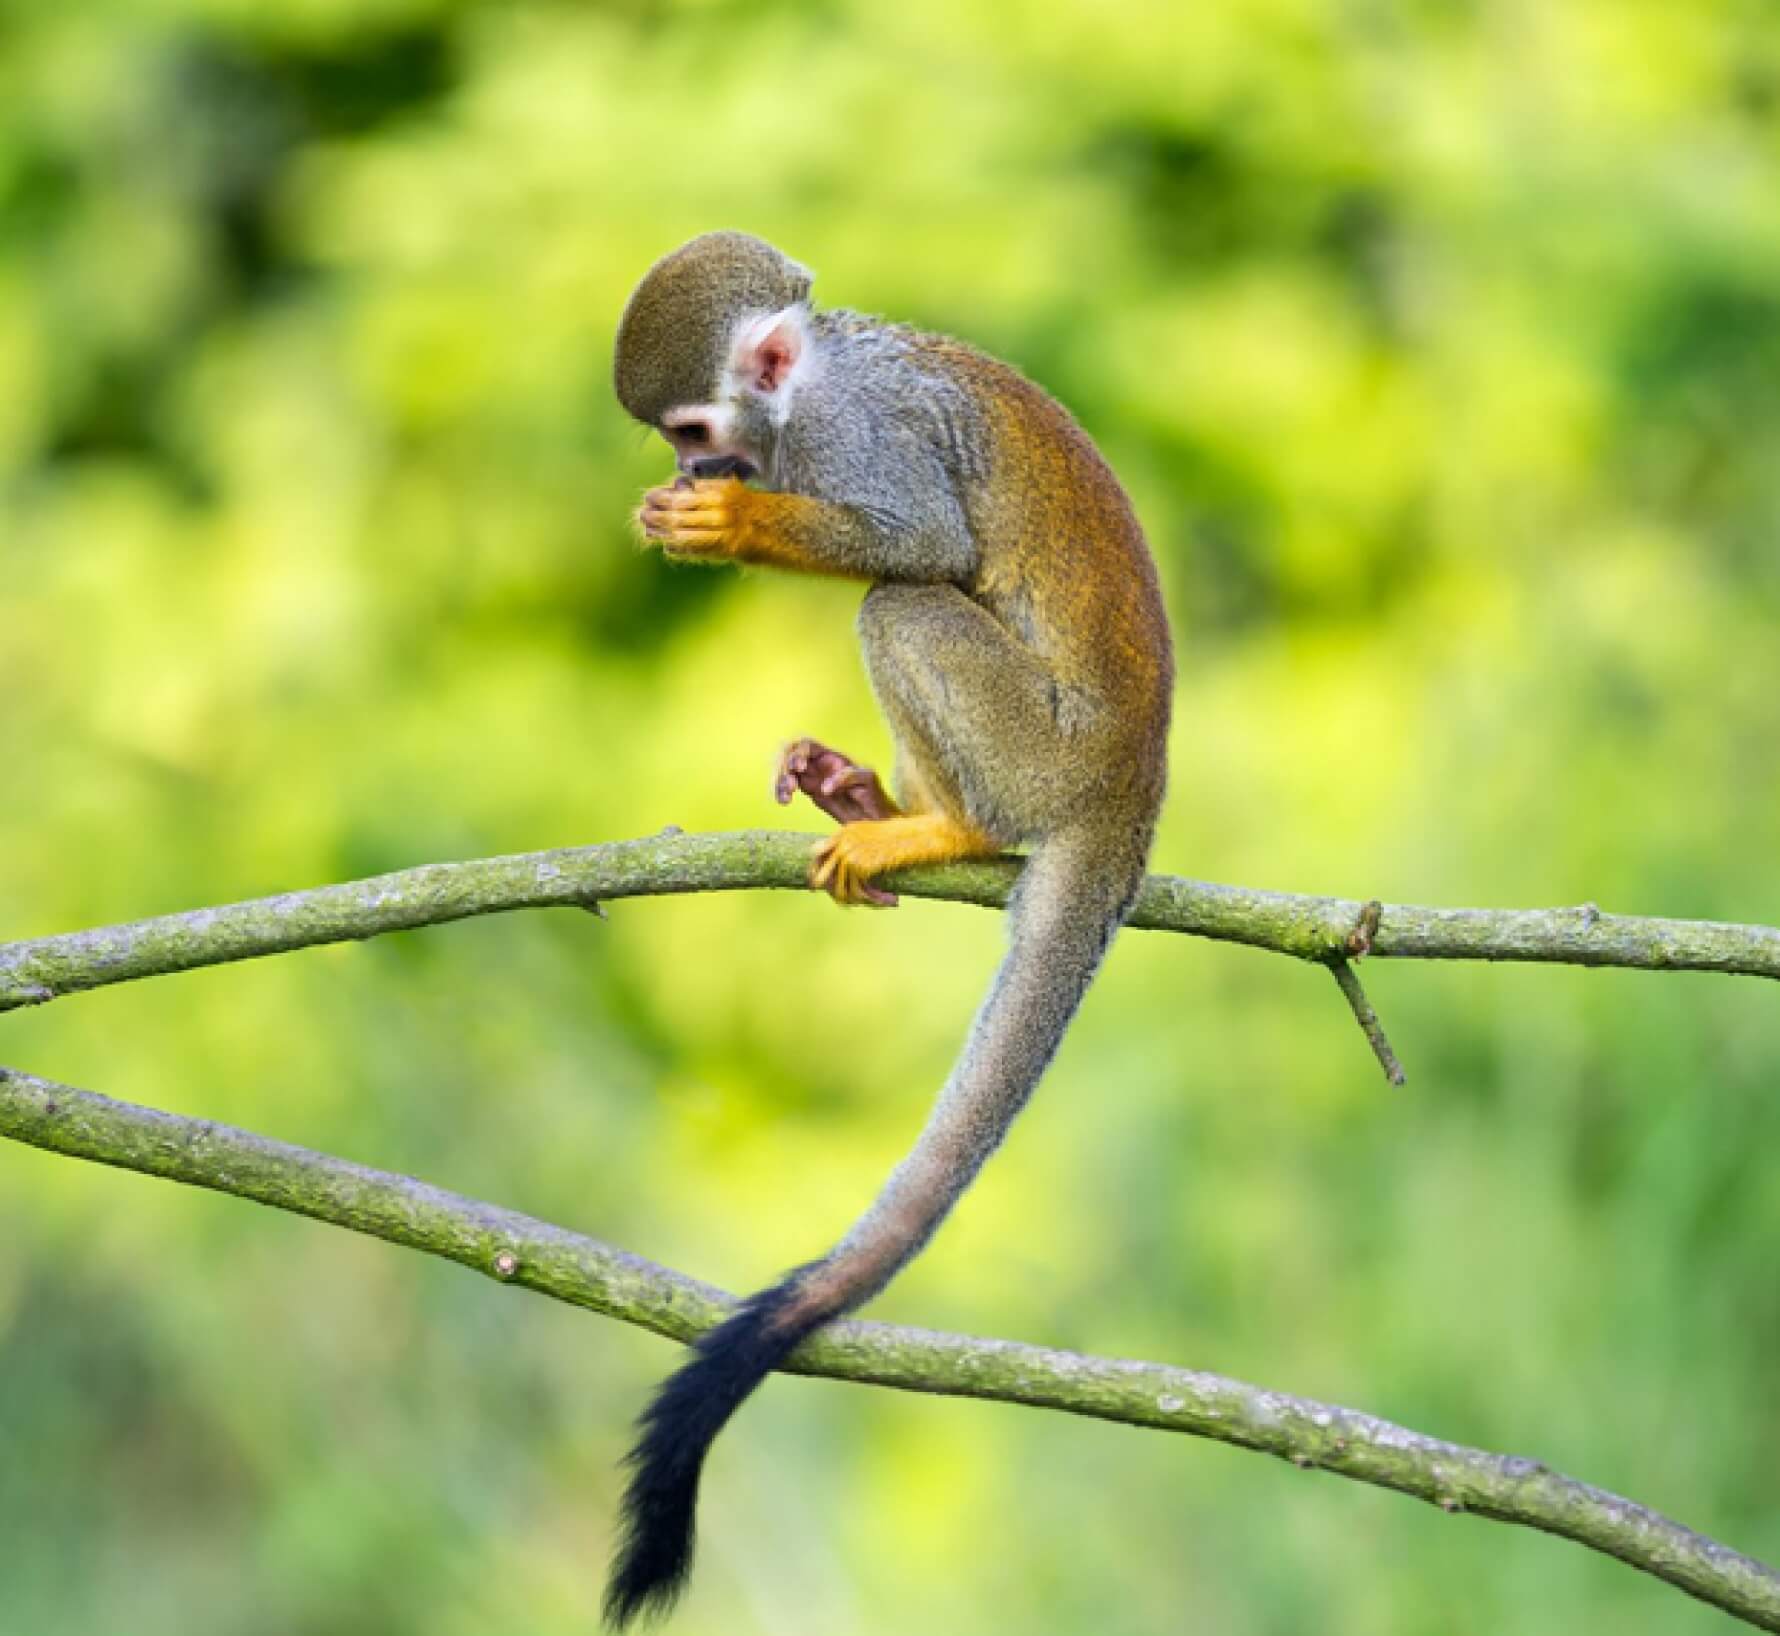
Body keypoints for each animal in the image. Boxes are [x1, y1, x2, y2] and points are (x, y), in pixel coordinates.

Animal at [605, 231, 1173, 1625]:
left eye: (693, 429)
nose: (689, 473)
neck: (808, 385)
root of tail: (1130, 789)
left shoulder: (856, 436)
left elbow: (920, 537)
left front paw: (733, 527)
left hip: (1037, 749)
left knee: (897, 600)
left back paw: (949, 828)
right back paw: (880, 803)